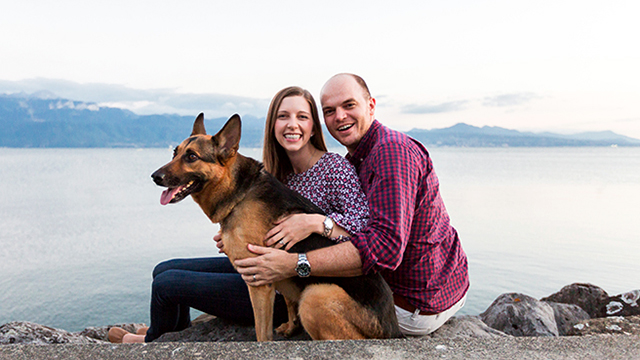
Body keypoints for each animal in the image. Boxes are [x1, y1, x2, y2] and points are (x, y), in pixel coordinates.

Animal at [151, 114, 400, 342]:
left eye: (192, 157)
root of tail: (392, 330)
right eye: (175, 153)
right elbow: (289, 301)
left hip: (316, 294)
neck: (240, 192)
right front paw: (290, 326)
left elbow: (262, 332)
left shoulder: (258, 282)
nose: (154, 177)